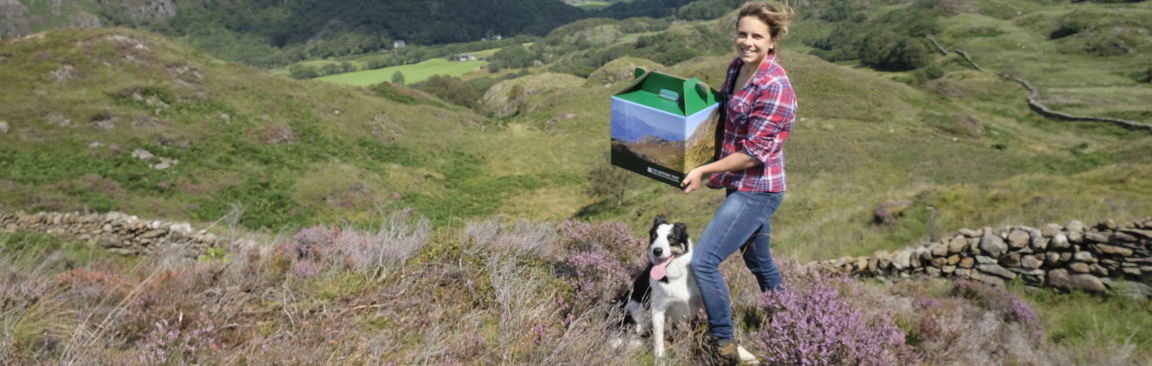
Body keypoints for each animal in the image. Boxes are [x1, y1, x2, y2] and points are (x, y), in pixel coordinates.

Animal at [622, 216, 755, 361]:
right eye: (654, 236)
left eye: (672, 238)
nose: (657, 251)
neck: (675, 274)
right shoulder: (658, 310)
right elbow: (659, 339)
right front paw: (660, 359)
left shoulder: (703, 303)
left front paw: (743, 353)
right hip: (635, 313)